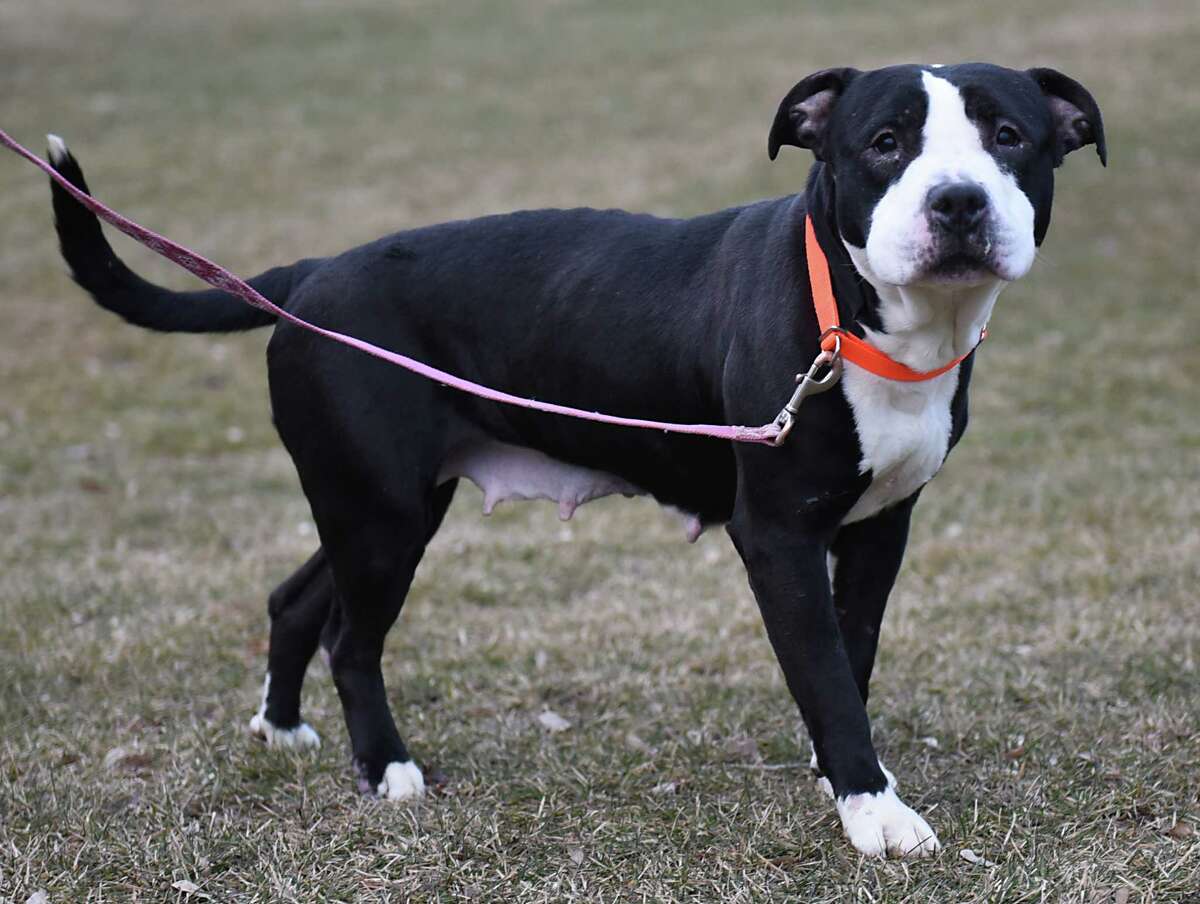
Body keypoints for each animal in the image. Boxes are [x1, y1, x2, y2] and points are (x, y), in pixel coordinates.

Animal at [44, 61, 1104, 854]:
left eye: (1009, 137)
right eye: (885, 144)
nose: (958, 202)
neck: (866, 324)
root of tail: (307, 276)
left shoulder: (879, 527)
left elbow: (853, 653)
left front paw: (840, 776)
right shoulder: (779, 540)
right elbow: (830, 676)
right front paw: (873, 811)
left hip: (379, 501)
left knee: (297, 596)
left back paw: (281, 727)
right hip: (381, 515)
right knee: (353, 637)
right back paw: (387, 769)